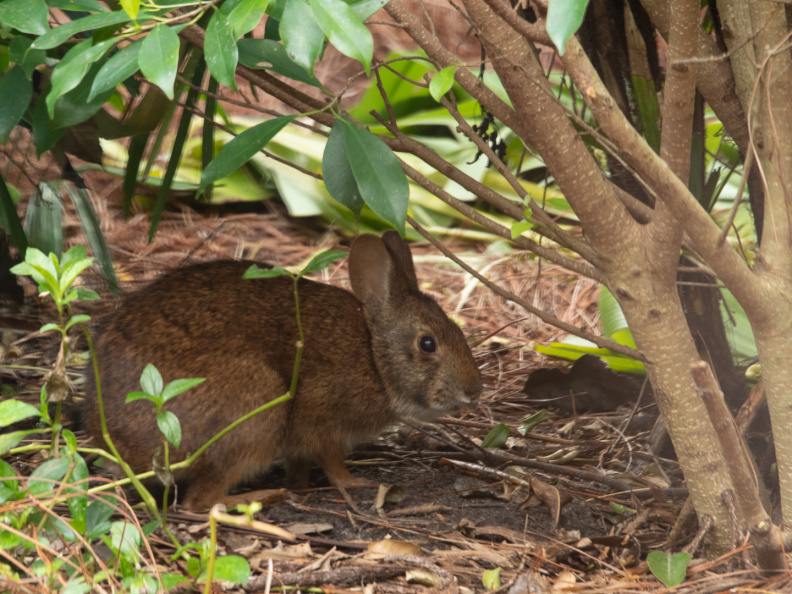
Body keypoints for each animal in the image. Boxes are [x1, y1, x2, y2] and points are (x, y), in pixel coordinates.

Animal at [83, 231, 483, 510]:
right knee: (200, 501)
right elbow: (332, 461)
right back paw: (262, 497)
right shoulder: (323, 421)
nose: (474, 390)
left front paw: (301, 484)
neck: (373, 355)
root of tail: (117, 442)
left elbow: (300, 464)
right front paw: (355, 483)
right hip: (255, 412)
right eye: (427, 344)